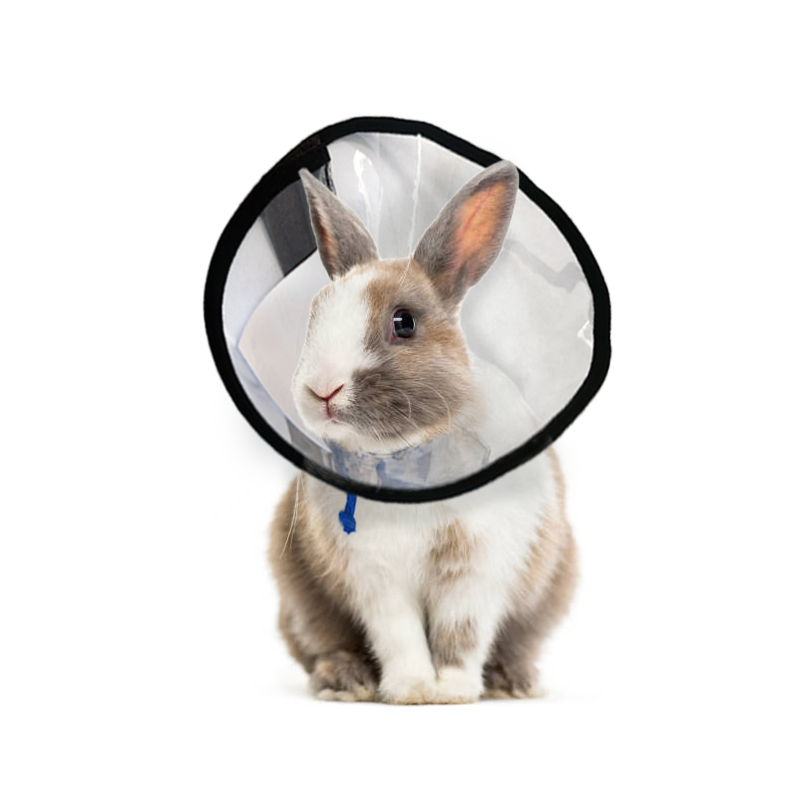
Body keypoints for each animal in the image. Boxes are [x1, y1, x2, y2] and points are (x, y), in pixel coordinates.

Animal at [268, 161, 577, 704]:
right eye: (315, 313)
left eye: (404, 322)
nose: (322, 389)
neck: (408, 460)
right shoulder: (376, 579)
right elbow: (400, 635)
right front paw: (412, 689)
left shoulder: (477, 569)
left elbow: (462, 633)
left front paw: (451, 690)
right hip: (301, 597)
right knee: (322, 643)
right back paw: (345, 681)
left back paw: (514, 682)